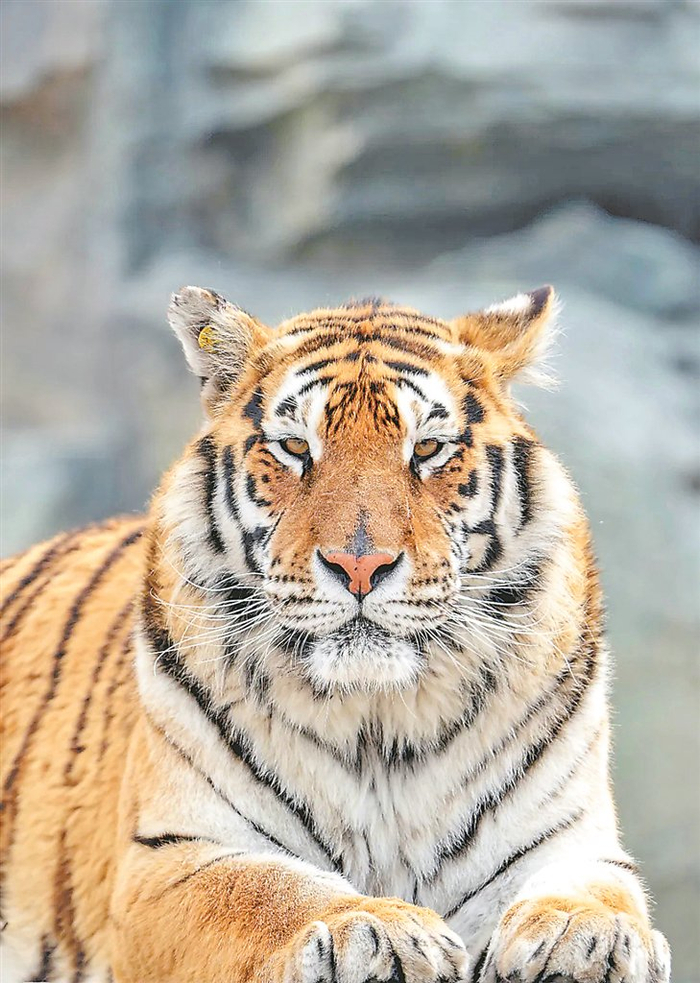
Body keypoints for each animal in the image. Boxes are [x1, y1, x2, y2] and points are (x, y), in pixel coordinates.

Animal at [0, 285, 670, 983]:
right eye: (296, 449)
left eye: (427, 450)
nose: (360, 566)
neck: (381, 724)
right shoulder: (171, 856)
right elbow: (270, 892)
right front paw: (382, 928)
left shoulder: (570, 839)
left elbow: (595, 889)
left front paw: (584, 932)